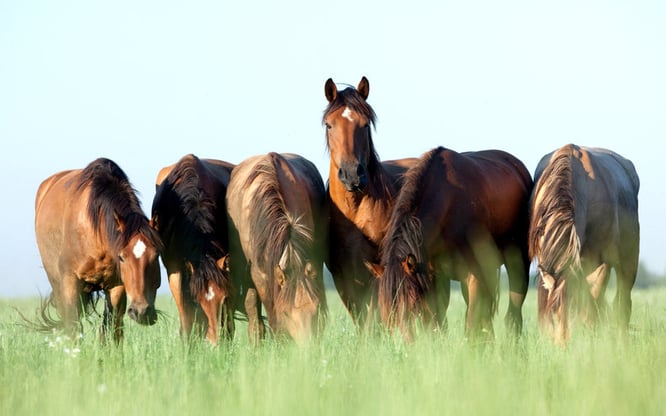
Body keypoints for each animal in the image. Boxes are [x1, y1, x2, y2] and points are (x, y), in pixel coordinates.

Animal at [34, 158, 162, 343]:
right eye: (122, 257)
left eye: (156, 255)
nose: (142, 312)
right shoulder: (70, 281)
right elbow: (72, 326)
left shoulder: (117, 286)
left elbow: (112, 328)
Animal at [368, 146, 533, 342]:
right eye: (386, 310)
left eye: (412, 304)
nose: (404, 345)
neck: (447, 206)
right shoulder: (434, 277)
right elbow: (438, 321)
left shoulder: (474, 275)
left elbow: (471, 323)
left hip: (518, 263)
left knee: (513, 312)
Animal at [528, 144, 640, 345]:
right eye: (555, 313)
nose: (563, 346)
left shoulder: (602, 262)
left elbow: (590, 308)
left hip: (628, 262)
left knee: (622, 304)